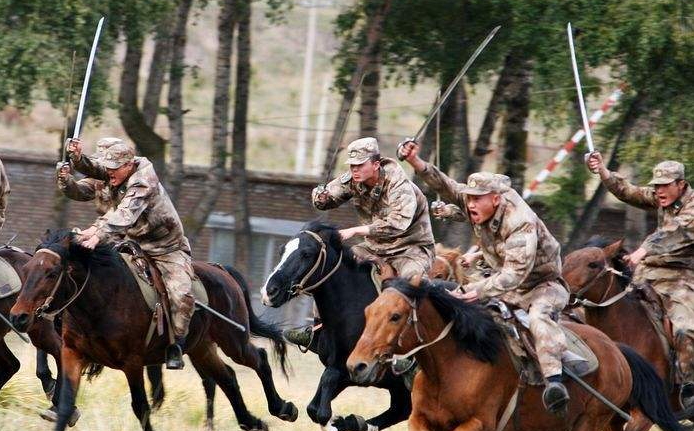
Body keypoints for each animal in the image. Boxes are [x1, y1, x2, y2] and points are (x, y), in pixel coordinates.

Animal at [10, 231, 300, 431]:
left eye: (51, 272)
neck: (103, 299)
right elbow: (65, 404)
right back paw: (251, 421)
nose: (18, 316)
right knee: (227, 378)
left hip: (233, 340)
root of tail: (221, 270)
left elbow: (141, 407)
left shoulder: (132, 363)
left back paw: (283, 408)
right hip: (201, 348)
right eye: (26, 269)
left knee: (259, 359)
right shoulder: (72, 354)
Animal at [260, 223, 414, 431]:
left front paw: (342, 421)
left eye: (307, 253)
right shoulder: (337, 366)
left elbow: (324, 400)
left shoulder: (359, 370)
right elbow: (314, 407)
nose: (270, 291)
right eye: (281, 250)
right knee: (401, 409)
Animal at [346, 278, 688, 430]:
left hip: (592, 423)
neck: (452, 367)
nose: (356, 366)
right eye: (368, 312)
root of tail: (618, 352)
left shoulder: (477, 423)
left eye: (396, 316)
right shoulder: (421, 420)